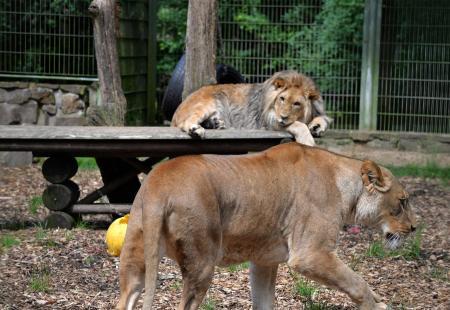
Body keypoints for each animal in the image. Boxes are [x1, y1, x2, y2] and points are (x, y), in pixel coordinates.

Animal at [118, 143, 416, 310]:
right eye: (402, 201)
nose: (414, 229)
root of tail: (159, 184)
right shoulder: (310, 254)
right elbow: (358, 283)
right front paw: (375, 304)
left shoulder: (264, 260)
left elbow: (263, 302)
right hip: (201, 263)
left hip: (135, 261)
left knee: (126, 298)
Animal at [171, 70, 332, 145]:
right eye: (282, 99)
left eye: (297, 104)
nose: (283, 117)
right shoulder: (268, 121)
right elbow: (299, 125)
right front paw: (308, 141)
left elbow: (323, 118)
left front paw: (317, 126)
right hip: (207, 104)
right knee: (186, 122)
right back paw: (196, 129)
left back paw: (216, 124)